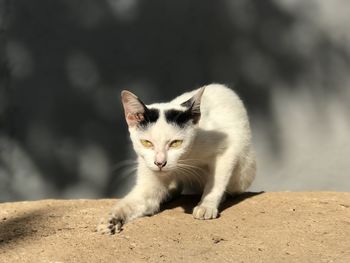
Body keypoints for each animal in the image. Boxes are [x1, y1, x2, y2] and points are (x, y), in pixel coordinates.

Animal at [97, 84, 256, 235]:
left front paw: (206, 205)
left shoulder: (227, 149)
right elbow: (132, 202)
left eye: (176, 143)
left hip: (243, 172)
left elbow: (216, 181)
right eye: (147, 143)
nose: (160, 163)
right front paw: (111, 219)